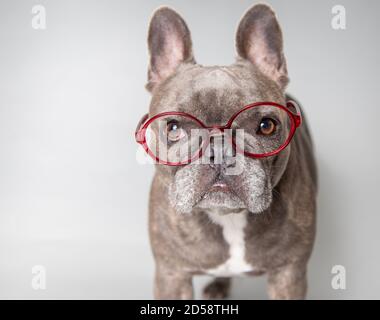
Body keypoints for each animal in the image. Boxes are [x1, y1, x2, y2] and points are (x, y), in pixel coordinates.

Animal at [137, 3, 318, 298]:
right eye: (174, 128)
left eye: (266, 125)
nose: (220, 151)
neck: (229, 219)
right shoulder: (172, 274)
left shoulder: (289, 274)